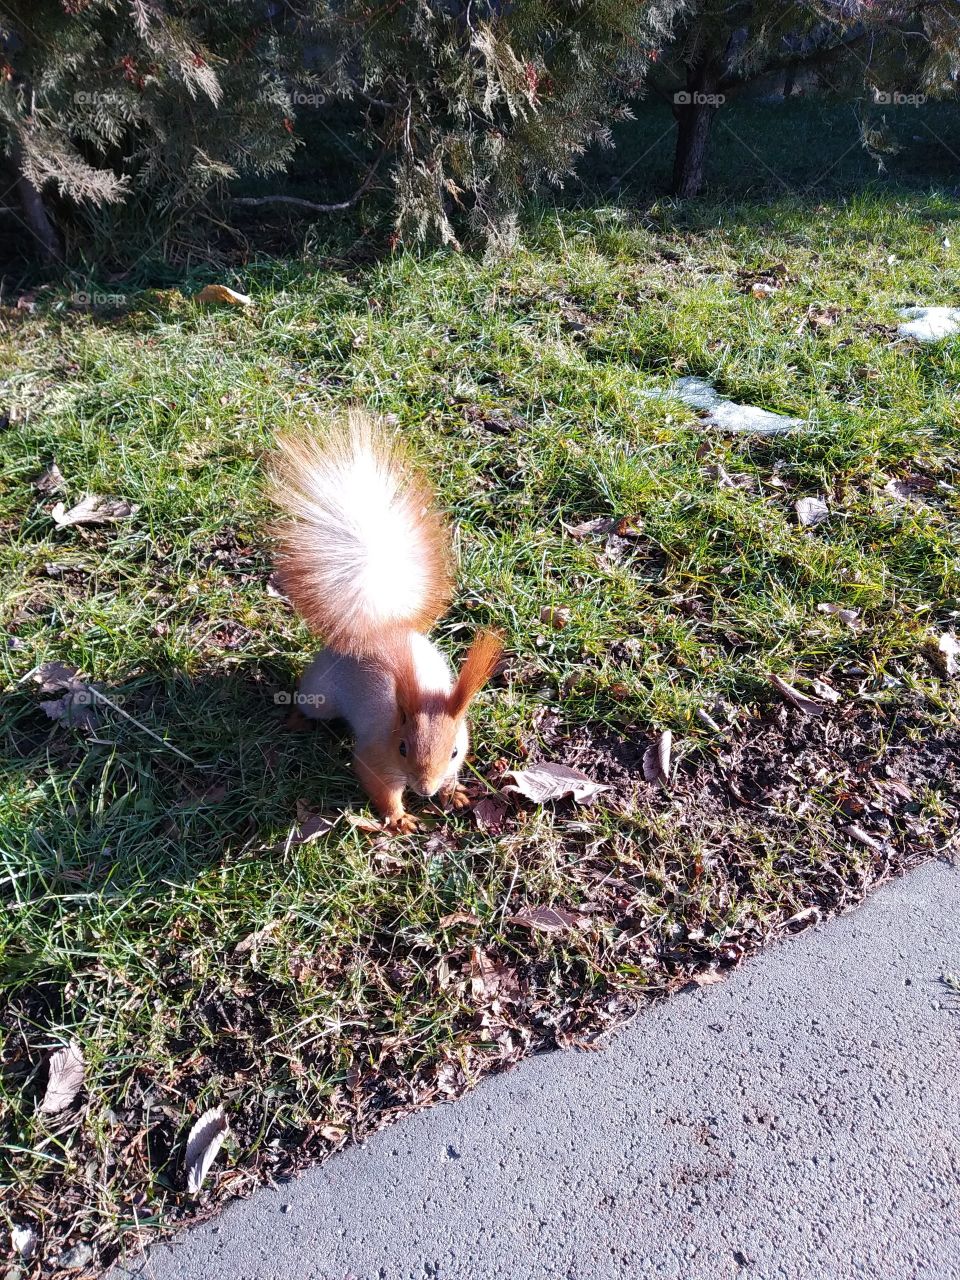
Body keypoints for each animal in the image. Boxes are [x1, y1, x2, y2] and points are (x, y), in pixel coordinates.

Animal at [270, 409, 502, 833]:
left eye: (455, 750)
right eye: (402, 747)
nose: (426, 790)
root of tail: (376, 626)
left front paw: (454, 792)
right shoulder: (375, 755)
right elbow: (378, 786)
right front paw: (399, 818)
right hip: (322, 693)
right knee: (307, 702)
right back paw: (297, 720)